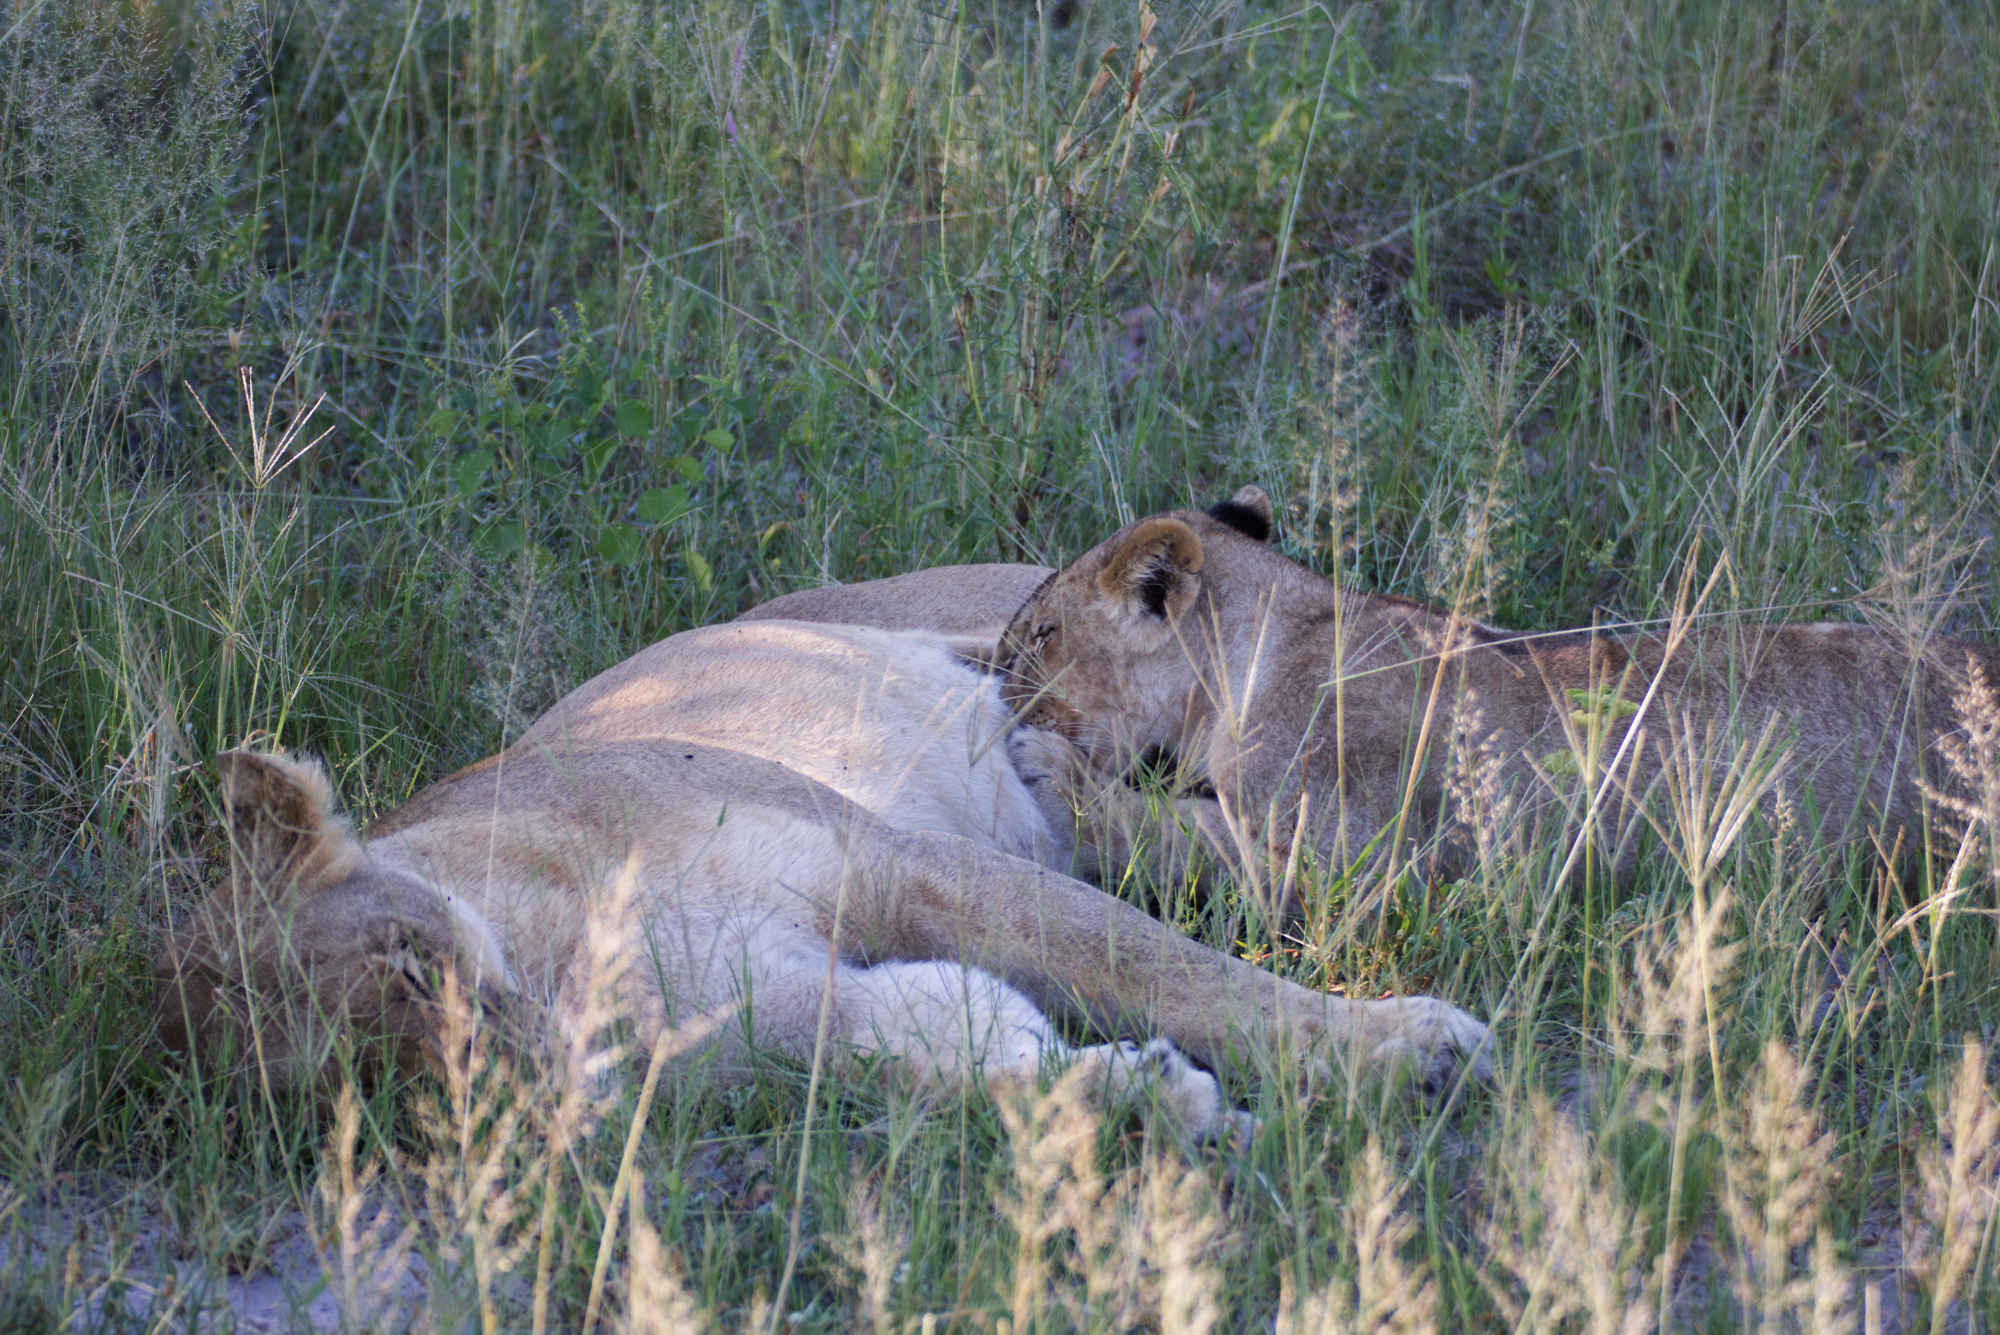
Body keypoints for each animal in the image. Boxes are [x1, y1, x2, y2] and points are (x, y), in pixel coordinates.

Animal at [156, 617, 1492, 1141]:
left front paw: (1406, 1047)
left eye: (413, 965)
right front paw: (1142, 1098)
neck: (564, 958)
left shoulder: (905, 863)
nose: (542, 1100)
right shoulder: (794, 1024)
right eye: (381, 1089)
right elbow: (968, 1054)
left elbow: (1177, 972)